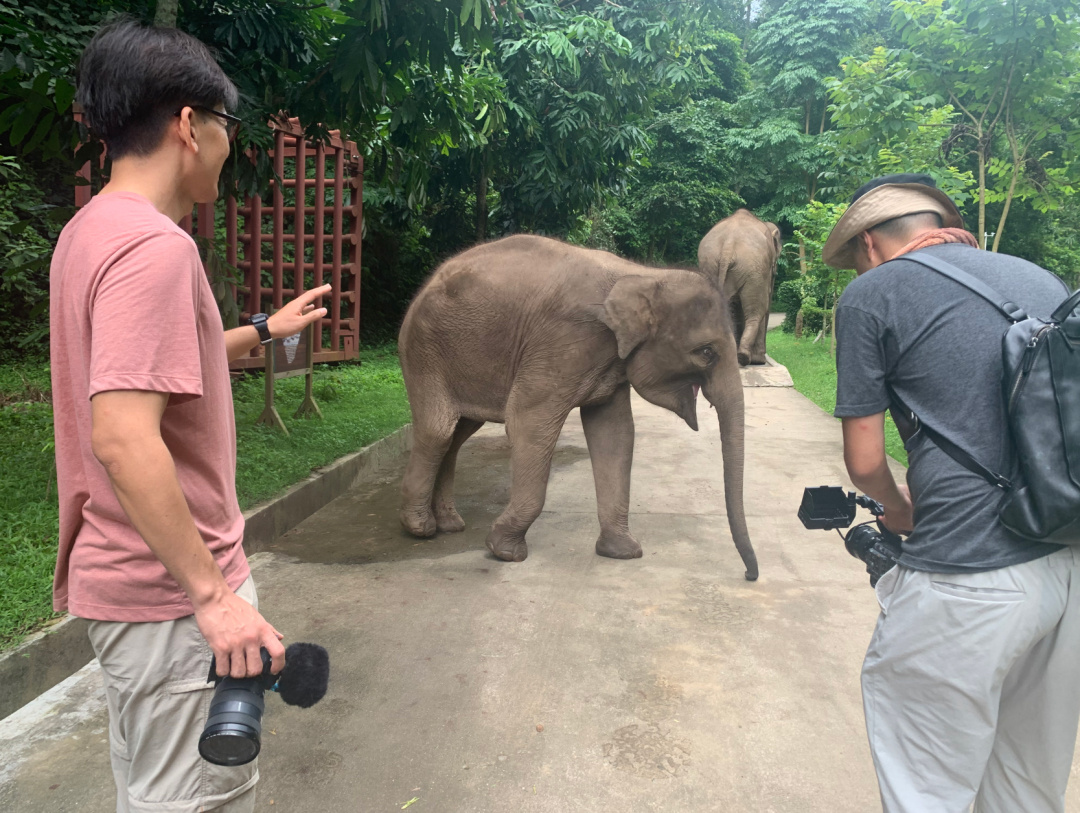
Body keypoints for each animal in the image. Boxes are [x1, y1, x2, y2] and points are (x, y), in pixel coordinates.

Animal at [396, 234, 758, 581]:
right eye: (706, 352)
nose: (749, 574)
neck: (644, 275)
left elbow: (615, 434)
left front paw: (622, 552)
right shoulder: (565, 340)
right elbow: (528, 422)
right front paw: (505, 553)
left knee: (458, 433)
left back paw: (449, 525)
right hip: (424, 349)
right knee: (439, 431)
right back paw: (421, 529)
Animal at [697, 209, 782, 367]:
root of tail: (728, 245)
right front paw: (759, 361)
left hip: (711, 266)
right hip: (754, 270)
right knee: (757, 311)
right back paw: (746, 358)